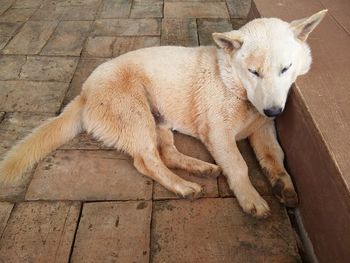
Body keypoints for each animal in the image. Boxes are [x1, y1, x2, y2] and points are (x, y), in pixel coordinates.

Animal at [0, 9, 328, 219]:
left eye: (285, 68)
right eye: (254, 71)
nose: (274, 110)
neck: (233, 83)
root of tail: (84, 92)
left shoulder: (263, 128)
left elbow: (275, 157)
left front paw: (283, 185)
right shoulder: (218, 133)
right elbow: (239, 166)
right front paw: (251, 199)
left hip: (160, 120)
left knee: (166, 153)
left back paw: (200, 168)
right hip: (137, 117)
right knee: (147, 160)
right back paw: (184, 186)